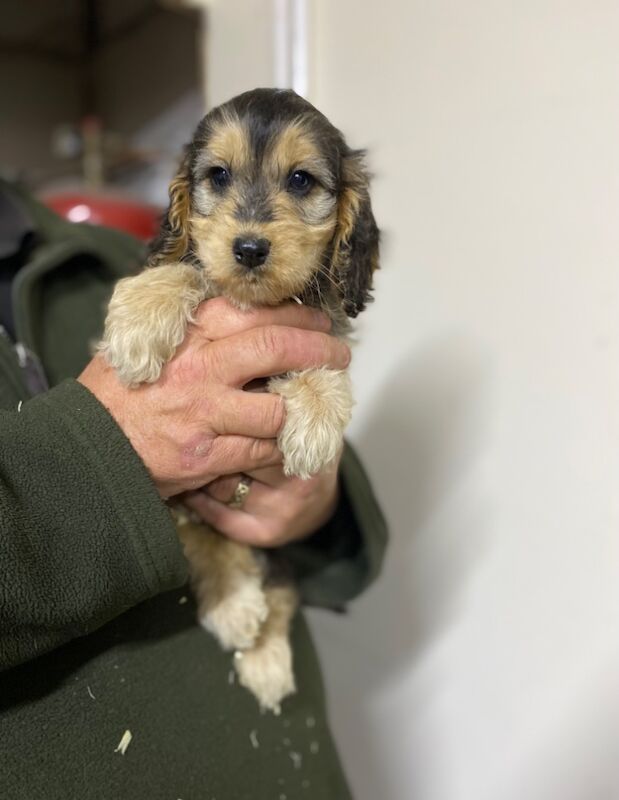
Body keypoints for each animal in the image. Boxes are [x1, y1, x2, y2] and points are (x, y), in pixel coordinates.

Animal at [98, 89, 378, 712]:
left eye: (300, 180)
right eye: (218, 176)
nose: (248, 248)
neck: (258, 304)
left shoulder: (321, 327)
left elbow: (324, 353)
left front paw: (315, 419)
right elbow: (190, 269)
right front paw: (140, 321)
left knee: (282, 587)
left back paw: (268, 658)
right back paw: (236, 608)